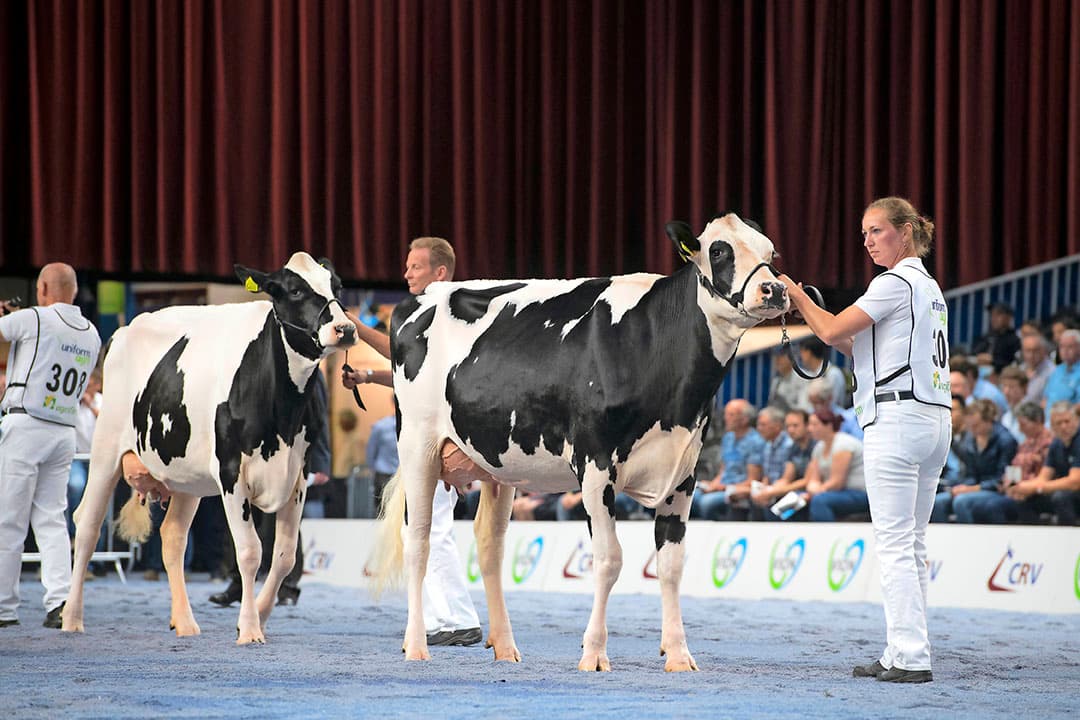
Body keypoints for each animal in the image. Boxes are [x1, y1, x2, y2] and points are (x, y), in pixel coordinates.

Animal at [62, 252, 355, 644]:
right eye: (294, 290)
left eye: (337, 285)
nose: (346, 329)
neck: (282, 410)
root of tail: (129, 327)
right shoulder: (232, 472)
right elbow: (250, 551)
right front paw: (250, 629)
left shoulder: (298, 476)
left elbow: (284, 555)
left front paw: (259, 615)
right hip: (105, 449)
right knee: (87, 526)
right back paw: (71, 617)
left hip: (187, 476)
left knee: (172, 536)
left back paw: (184, 622)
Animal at [373, 213, 789, 670]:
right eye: (718, 251)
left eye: (771, 251)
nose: (774, 289)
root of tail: (418, 298)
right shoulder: (595, 464)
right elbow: (608, 560)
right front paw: (593, 653)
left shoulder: (683, 473)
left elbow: (671, 563)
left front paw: (678, 654)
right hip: (418, 444)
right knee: (419, 540)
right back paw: (416, 645)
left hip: (497, 464)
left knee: (489, 546)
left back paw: (505, 647)